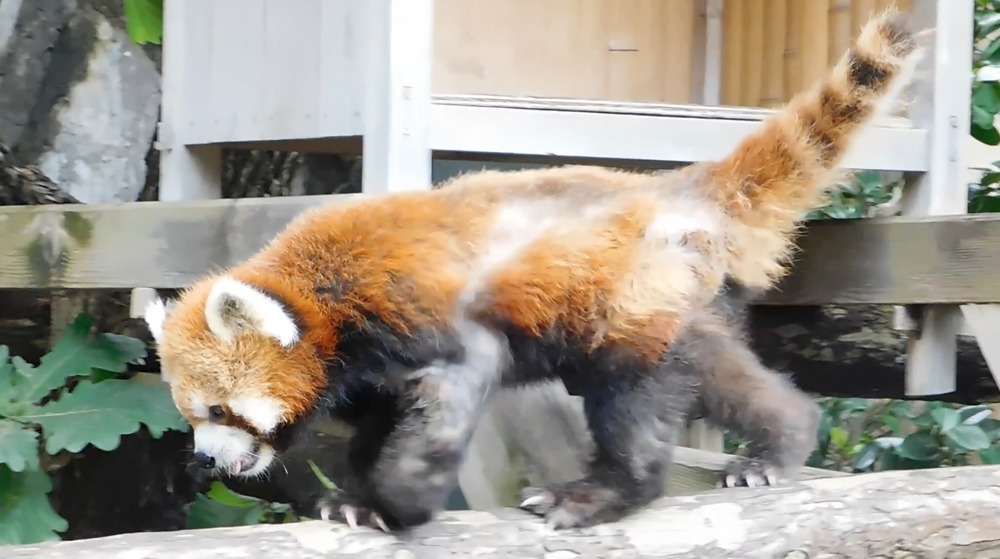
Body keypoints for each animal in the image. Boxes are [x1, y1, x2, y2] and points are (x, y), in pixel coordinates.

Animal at [143, 9, 920, 532]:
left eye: (220, 411)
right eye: (193, 415)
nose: (206, 460)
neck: (326, 298)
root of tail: (678, 188)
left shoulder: (419, 315)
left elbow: (449, 400)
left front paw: (400, 503)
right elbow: (378, 423)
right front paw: (356, 497)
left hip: (633, 305)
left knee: (640, 400)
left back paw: (614, 488)